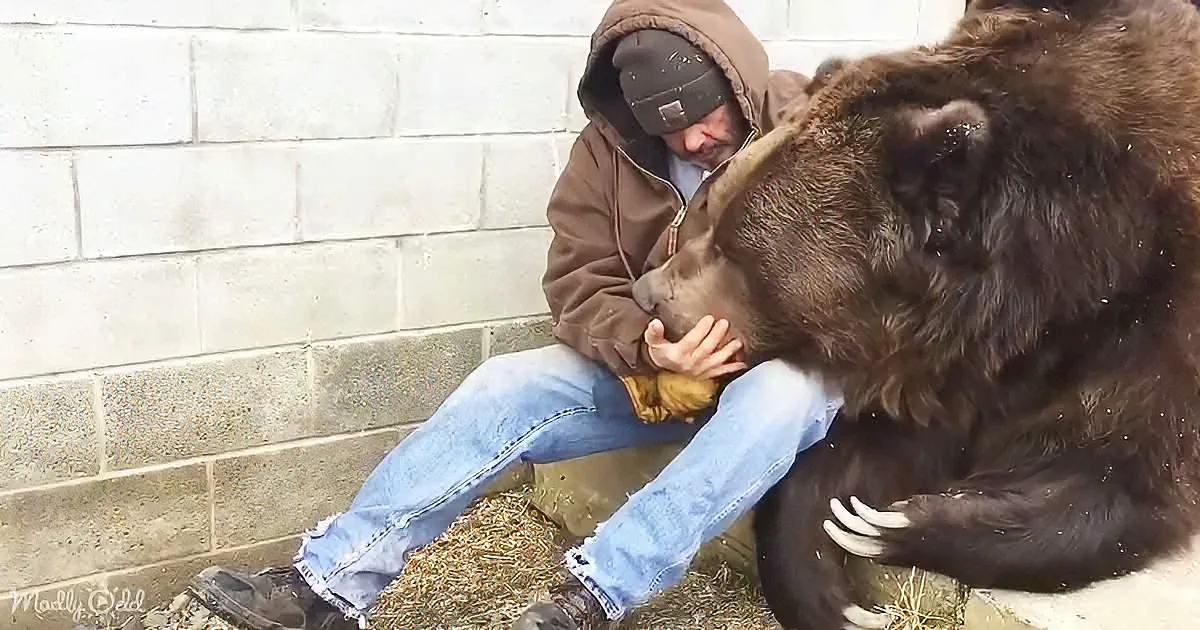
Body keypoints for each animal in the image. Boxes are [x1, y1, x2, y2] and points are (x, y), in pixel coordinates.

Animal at [629, 1, 1200, 629]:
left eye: (735, 249)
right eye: (716, 205)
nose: (649, 293)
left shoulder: (1152, 316)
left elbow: (1115, 469)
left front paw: (896, 524)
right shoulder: (945, 356)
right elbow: (872, 447)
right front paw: (835, 585)